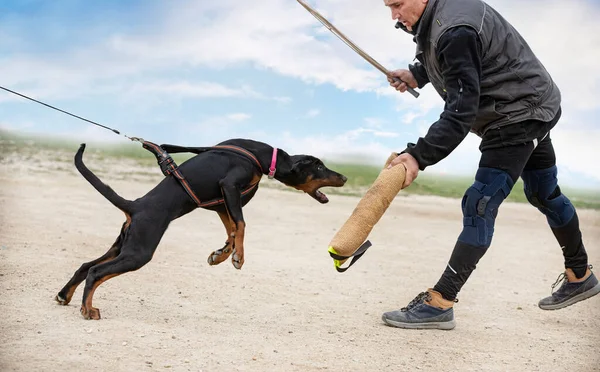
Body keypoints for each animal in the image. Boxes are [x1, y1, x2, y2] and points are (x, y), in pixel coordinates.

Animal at [56, 139, 350, 320]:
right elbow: (241, 224)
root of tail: (136, 205)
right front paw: (238, 256)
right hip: (139, 251)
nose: (345, 177)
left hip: (125, 243)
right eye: (319, 166)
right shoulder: (229, 186)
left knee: (86, 266)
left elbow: (232, 228)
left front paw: (222, 254)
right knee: (96, 272)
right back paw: (87, 309)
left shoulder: (220, 201)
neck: (263, 156)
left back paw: (64, 296)